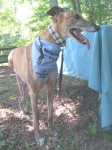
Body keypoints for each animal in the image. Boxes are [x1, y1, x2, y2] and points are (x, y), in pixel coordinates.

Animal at [8, 6, 100, 146]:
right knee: (20, 100)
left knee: (20, 100)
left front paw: (52, 131)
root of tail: (12, 51)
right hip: (24, 86)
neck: (49, 46)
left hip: (25, 87)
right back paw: (24, 114)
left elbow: (50, 113)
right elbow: (36, 118)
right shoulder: (33, 92)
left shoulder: (51, 87)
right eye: (76, 16)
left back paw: (24, 113)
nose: (98, 27)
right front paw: (39, 138)